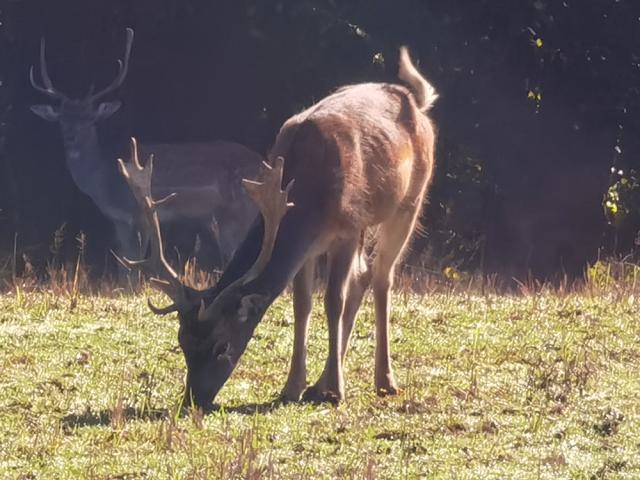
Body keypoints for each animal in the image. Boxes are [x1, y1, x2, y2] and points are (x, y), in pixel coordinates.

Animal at [30, 29, 260, 270]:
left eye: (90, 120)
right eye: (62, 120)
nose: (71, 137)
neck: (105, 182)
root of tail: (266, 165)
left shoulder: (140, 213)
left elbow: (135, 262)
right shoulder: (118, 221)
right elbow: (123, 264)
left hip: (240, 213)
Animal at [119, 46, 440, 408]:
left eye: (222, 345)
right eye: (182, 340)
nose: (193, 400)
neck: (308, 193)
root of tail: (416, 99)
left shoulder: (345, 228)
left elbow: (333, 301)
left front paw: (335, 391)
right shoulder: (311, 243)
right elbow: (302, 304)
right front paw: (294, 387)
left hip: (410, 202)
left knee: (382, 276)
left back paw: (383, 380)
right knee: (363, 275)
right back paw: (322, 382)